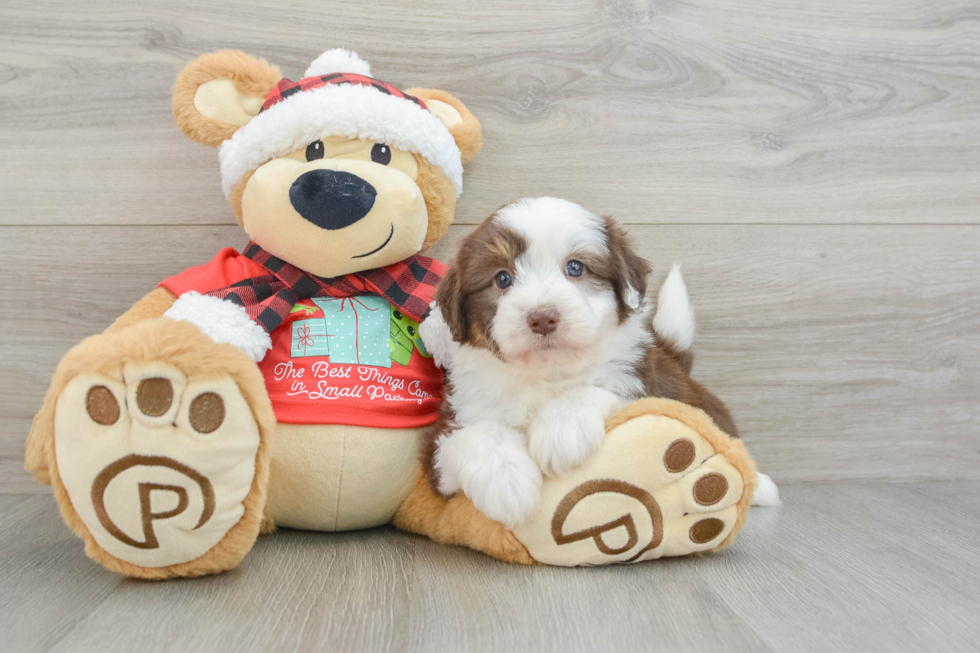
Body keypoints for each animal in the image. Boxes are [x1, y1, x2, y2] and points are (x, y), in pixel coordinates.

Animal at [422, 197, 780, 524]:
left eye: (575, 268)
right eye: (502, 279)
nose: (543, 317)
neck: (547, 374)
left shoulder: (641, 382)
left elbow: (603, 390)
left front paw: (561, 430)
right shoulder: (447, 437)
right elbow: (473, 435)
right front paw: (507, 481)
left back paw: (761, 487)